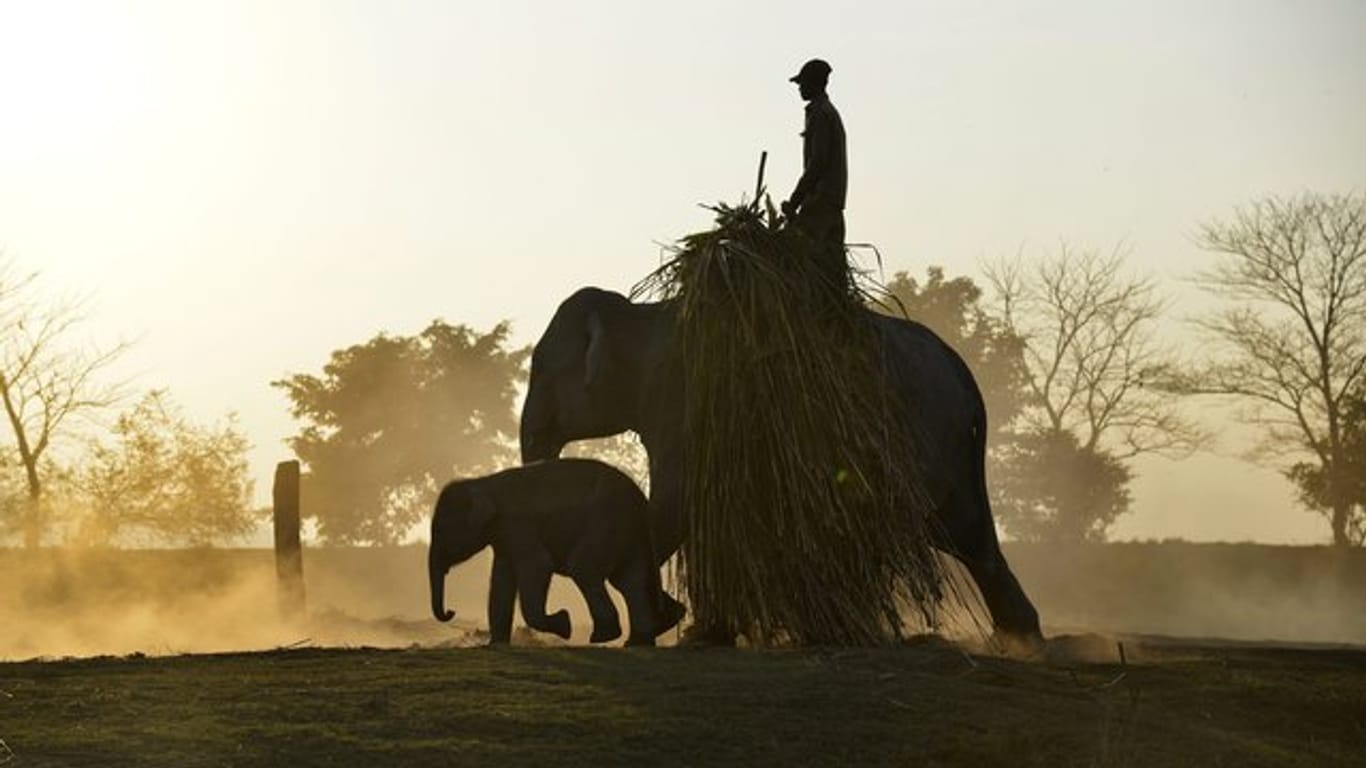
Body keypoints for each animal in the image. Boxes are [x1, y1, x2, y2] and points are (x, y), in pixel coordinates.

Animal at [426, 456, 683, 642]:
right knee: (629, 579)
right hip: (627, 532)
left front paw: (563, 624)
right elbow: (501, 580)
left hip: (608, 522)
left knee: (584, 568)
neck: (482, 482)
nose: (450, 612)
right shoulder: (504, 535)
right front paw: (494, 645)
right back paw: (638, 640)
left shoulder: (520, 525)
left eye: (440, 531)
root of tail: (640, 500)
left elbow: (539, 565)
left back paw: (604, 636)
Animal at [516, 284, 1038, 642]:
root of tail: (960, 369)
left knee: (938, 530)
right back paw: (1017, 638)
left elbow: (676, 500)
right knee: (966, 534)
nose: (552, 626)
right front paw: (696, 632)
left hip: (917, 434)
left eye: (539, 368)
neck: (638, 313)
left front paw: (665, 629)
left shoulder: (684, 396)